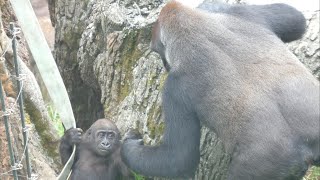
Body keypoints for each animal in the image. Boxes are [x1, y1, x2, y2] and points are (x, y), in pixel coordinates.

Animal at [120, 0, 320, 179]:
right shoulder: (245, 14)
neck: (193, 28)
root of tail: (305, 149)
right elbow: (295, 17)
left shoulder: (173, 89)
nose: (165, 64)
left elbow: (178, 158)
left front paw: (127, 148)